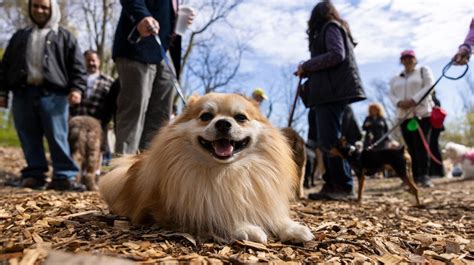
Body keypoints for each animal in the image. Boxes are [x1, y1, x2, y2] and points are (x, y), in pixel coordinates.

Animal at [99, 93, 314, 243]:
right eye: (206, 116)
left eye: (240, 117)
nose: (223, 123)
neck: (226, 172)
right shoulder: (174, 212)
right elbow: (215, 215)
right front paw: (246, 228)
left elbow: (273, 215)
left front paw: (292, 228)